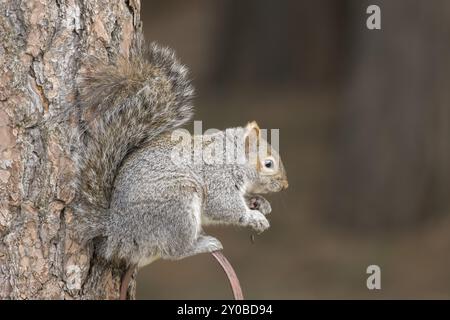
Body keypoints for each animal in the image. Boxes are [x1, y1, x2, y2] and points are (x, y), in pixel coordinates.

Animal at [70, 42, 288, 272]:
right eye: (268, 164)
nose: (285, 185)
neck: (231, 156)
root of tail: (117, 229)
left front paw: (259, 202)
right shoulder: (218, 179)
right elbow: (223, 206)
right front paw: (254, 217)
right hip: (178, 206)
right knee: (175, 251)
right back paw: (203, 244)